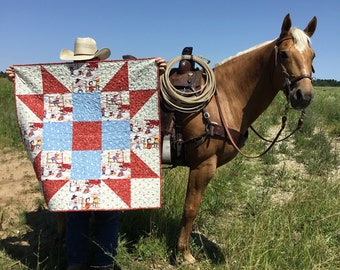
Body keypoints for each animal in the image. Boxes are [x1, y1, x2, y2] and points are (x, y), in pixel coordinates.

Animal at [161, 13, 316, 264]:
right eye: (284, 54)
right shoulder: (203, 165)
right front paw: (184, 254)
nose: (304, 95)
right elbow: (190, 209)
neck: (222, 98)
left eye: (313, 55)